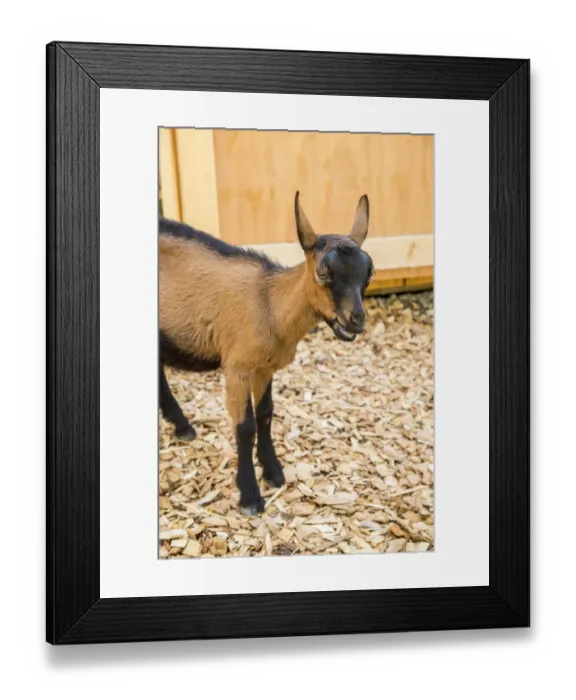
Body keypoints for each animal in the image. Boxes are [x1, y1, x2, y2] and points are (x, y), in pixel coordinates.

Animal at [159, 192, 374, 514]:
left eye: (369, 272)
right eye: (324, 272)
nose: (356, 320)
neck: (271, 305)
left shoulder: (264, 367)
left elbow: (265, 415)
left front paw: (273, 471)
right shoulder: (237, 367)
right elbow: (245, 426)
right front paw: (249, 495)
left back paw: (182, 426)